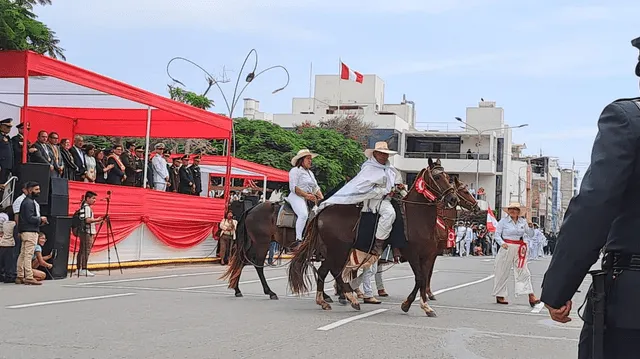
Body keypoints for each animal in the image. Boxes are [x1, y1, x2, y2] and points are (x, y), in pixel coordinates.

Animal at [288, 159, 458, 316]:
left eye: (448, 177)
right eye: (437, 177)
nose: (453, 199)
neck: (417, 217)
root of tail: (322, 211)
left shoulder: (428, 256)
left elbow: (423, 278)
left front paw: (423, 305)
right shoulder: (412, 254)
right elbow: (420, 278)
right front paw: (411, 304)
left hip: (337, 251)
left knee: (326, 271)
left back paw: (330, 300)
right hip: (339, 249)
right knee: (332, 271)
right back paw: (347, 299)